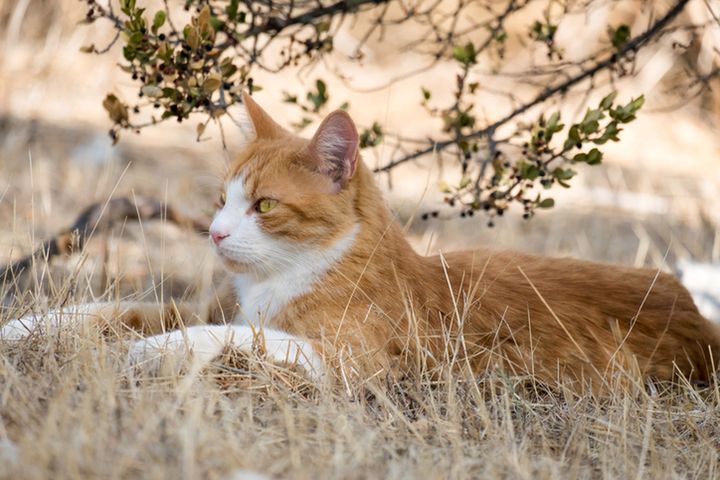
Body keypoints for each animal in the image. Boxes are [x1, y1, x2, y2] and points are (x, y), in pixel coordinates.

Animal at [1, 94, 720, 390]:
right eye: (221, 200)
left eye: (264, 206)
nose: (215, 233)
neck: (292, 274)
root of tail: (694, 312)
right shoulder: (213, 302)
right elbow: (116, 308)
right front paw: (25, 328)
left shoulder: (352, 360)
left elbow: (228, 335)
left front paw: (154, 351)